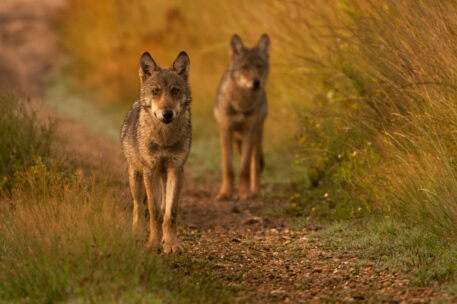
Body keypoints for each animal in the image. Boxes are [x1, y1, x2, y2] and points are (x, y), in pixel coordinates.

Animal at [120, 51, 190, 254]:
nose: (167, 113)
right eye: (156, 91)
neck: (164, 139)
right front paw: (153, 244)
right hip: (136, 177)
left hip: (164, 177)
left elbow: (170, 212)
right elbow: (154, 211)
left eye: (175, 90)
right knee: (138, 205)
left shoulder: (176, 169)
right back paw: (137, 234)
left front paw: (172, 244)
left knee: (163, 205)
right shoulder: (150, 170)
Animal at [213, 33, 268, 201]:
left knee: (255, 165)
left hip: (256, 136)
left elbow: (244, 168)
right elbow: (228, 167)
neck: (241, 104)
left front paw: (244, 192)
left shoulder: (250, 131)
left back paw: (255, 191)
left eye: (260, 66)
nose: (256, 82)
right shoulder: (226, 131)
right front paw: (225, 192)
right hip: (237, 140)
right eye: (244, 67)